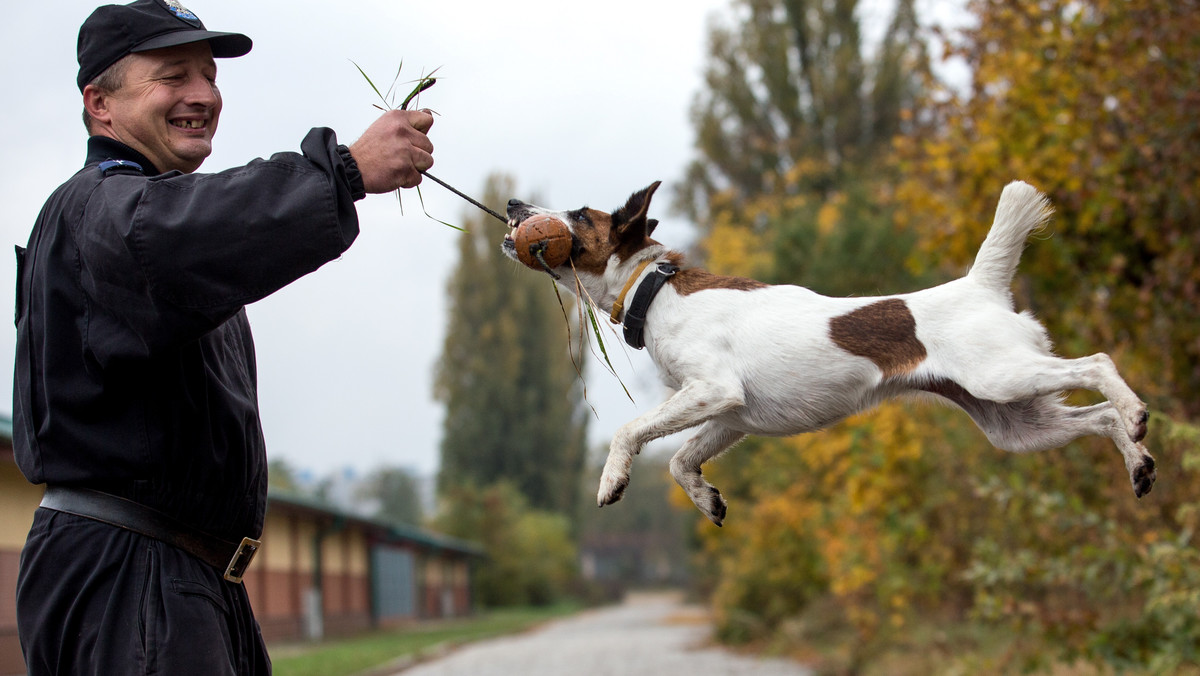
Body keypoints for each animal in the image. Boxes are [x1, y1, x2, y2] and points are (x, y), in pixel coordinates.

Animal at [499, 182, 1152, 525]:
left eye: (579, 214)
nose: (512, 207)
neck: (654, 291)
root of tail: (980, 286)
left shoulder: (714, 391)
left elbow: (630, 432)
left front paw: (612, 479)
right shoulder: (730, 416)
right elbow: (684, 461)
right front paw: (708, 500)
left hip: (1003, 377)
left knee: (1098, 365)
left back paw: (1137, 412)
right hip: (1012, 422)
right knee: (1097, 417)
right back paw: (1138, 462)